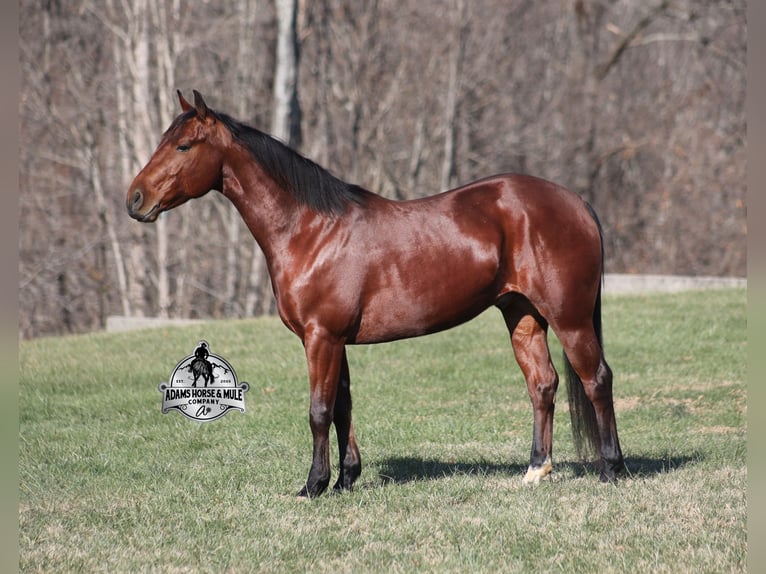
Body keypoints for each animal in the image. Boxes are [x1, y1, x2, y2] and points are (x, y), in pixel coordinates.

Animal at [127, 90, 624, 497]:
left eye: (183, 146)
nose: (135, 199)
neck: (311, 230)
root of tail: (576, 202)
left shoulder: (321, 337)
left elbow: (319, 410)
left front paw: (313, 485)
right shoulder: (335, 340)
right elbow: (342, 406)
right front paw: (346, 479)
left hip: (570, 317)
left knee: (596, 378)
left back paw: (611, 469)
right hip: (522, 314)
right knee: (542, 383)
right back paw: (536, 469)